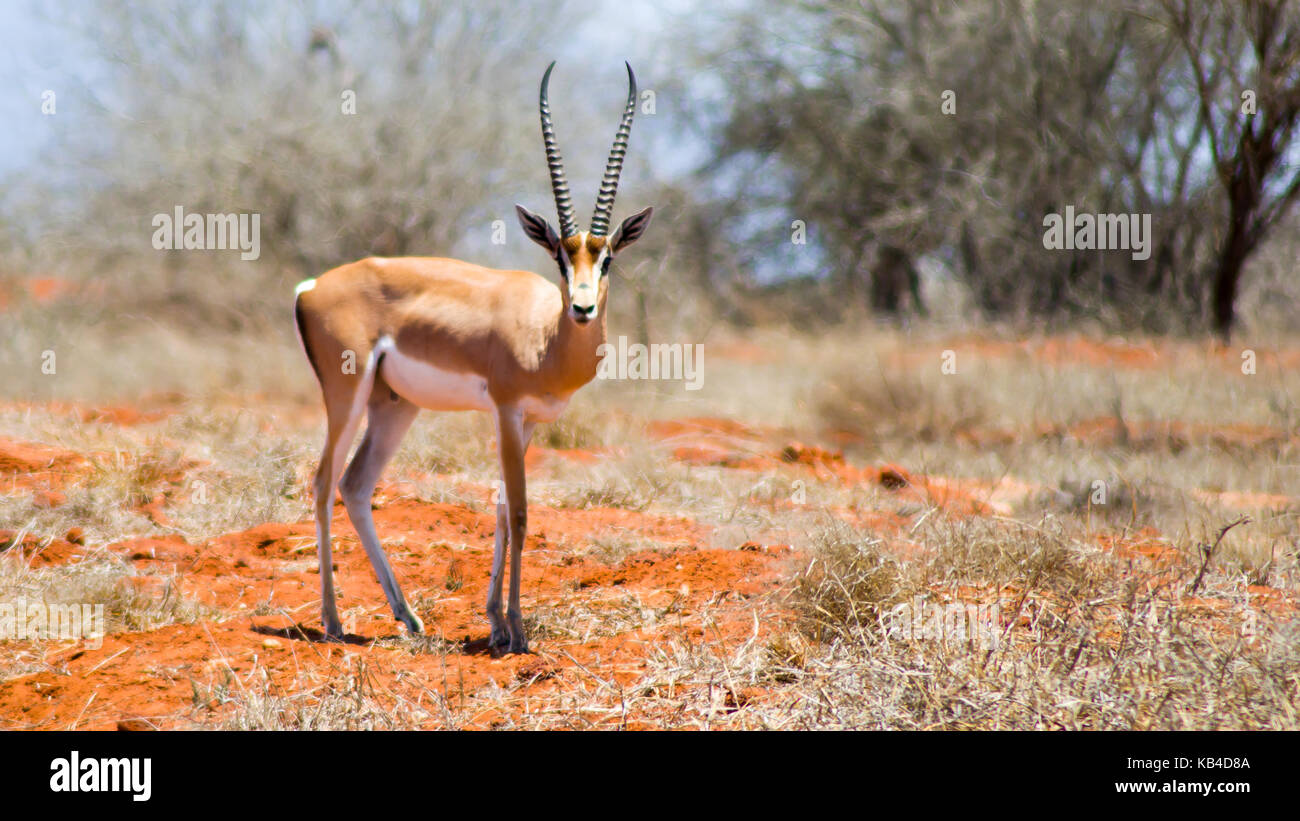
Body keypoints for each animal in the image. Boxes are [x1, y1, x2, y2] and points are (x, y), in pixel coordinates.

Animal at [293, 62, 653, 654]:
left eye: (606, 260)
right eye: (559, 256)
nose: (581, 307)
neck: (546, 337)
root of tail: (312, 286)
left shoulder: (529, 421)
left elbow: (504, 509)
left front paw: (497, 624)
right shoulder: (506, 412)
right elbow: (522, 512)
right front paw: (518, 632)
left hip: (395, 406)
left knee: (356, 485)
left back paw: (409, 618)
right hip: (347, 394)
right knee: (324, 482)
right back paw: (333, 622)